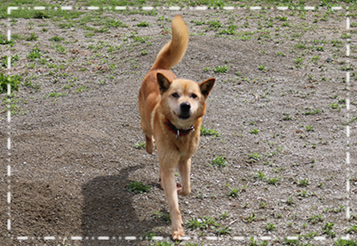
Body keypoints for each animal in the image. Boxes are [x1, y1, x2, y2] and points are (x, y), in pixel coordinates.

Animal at [136, 14, 214, 240]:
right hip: (145, 122)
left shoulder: (185, 160)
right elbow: (173, 203)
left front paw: (180, 189)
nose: (185, 105)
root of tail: (158, 69)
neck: (179, 132)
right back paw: (150, 146)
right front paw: (177, 229)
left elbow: (187, 187)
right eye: (175, 94)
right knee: (148, 136)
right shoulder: (170, 163)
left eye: (194, 96)